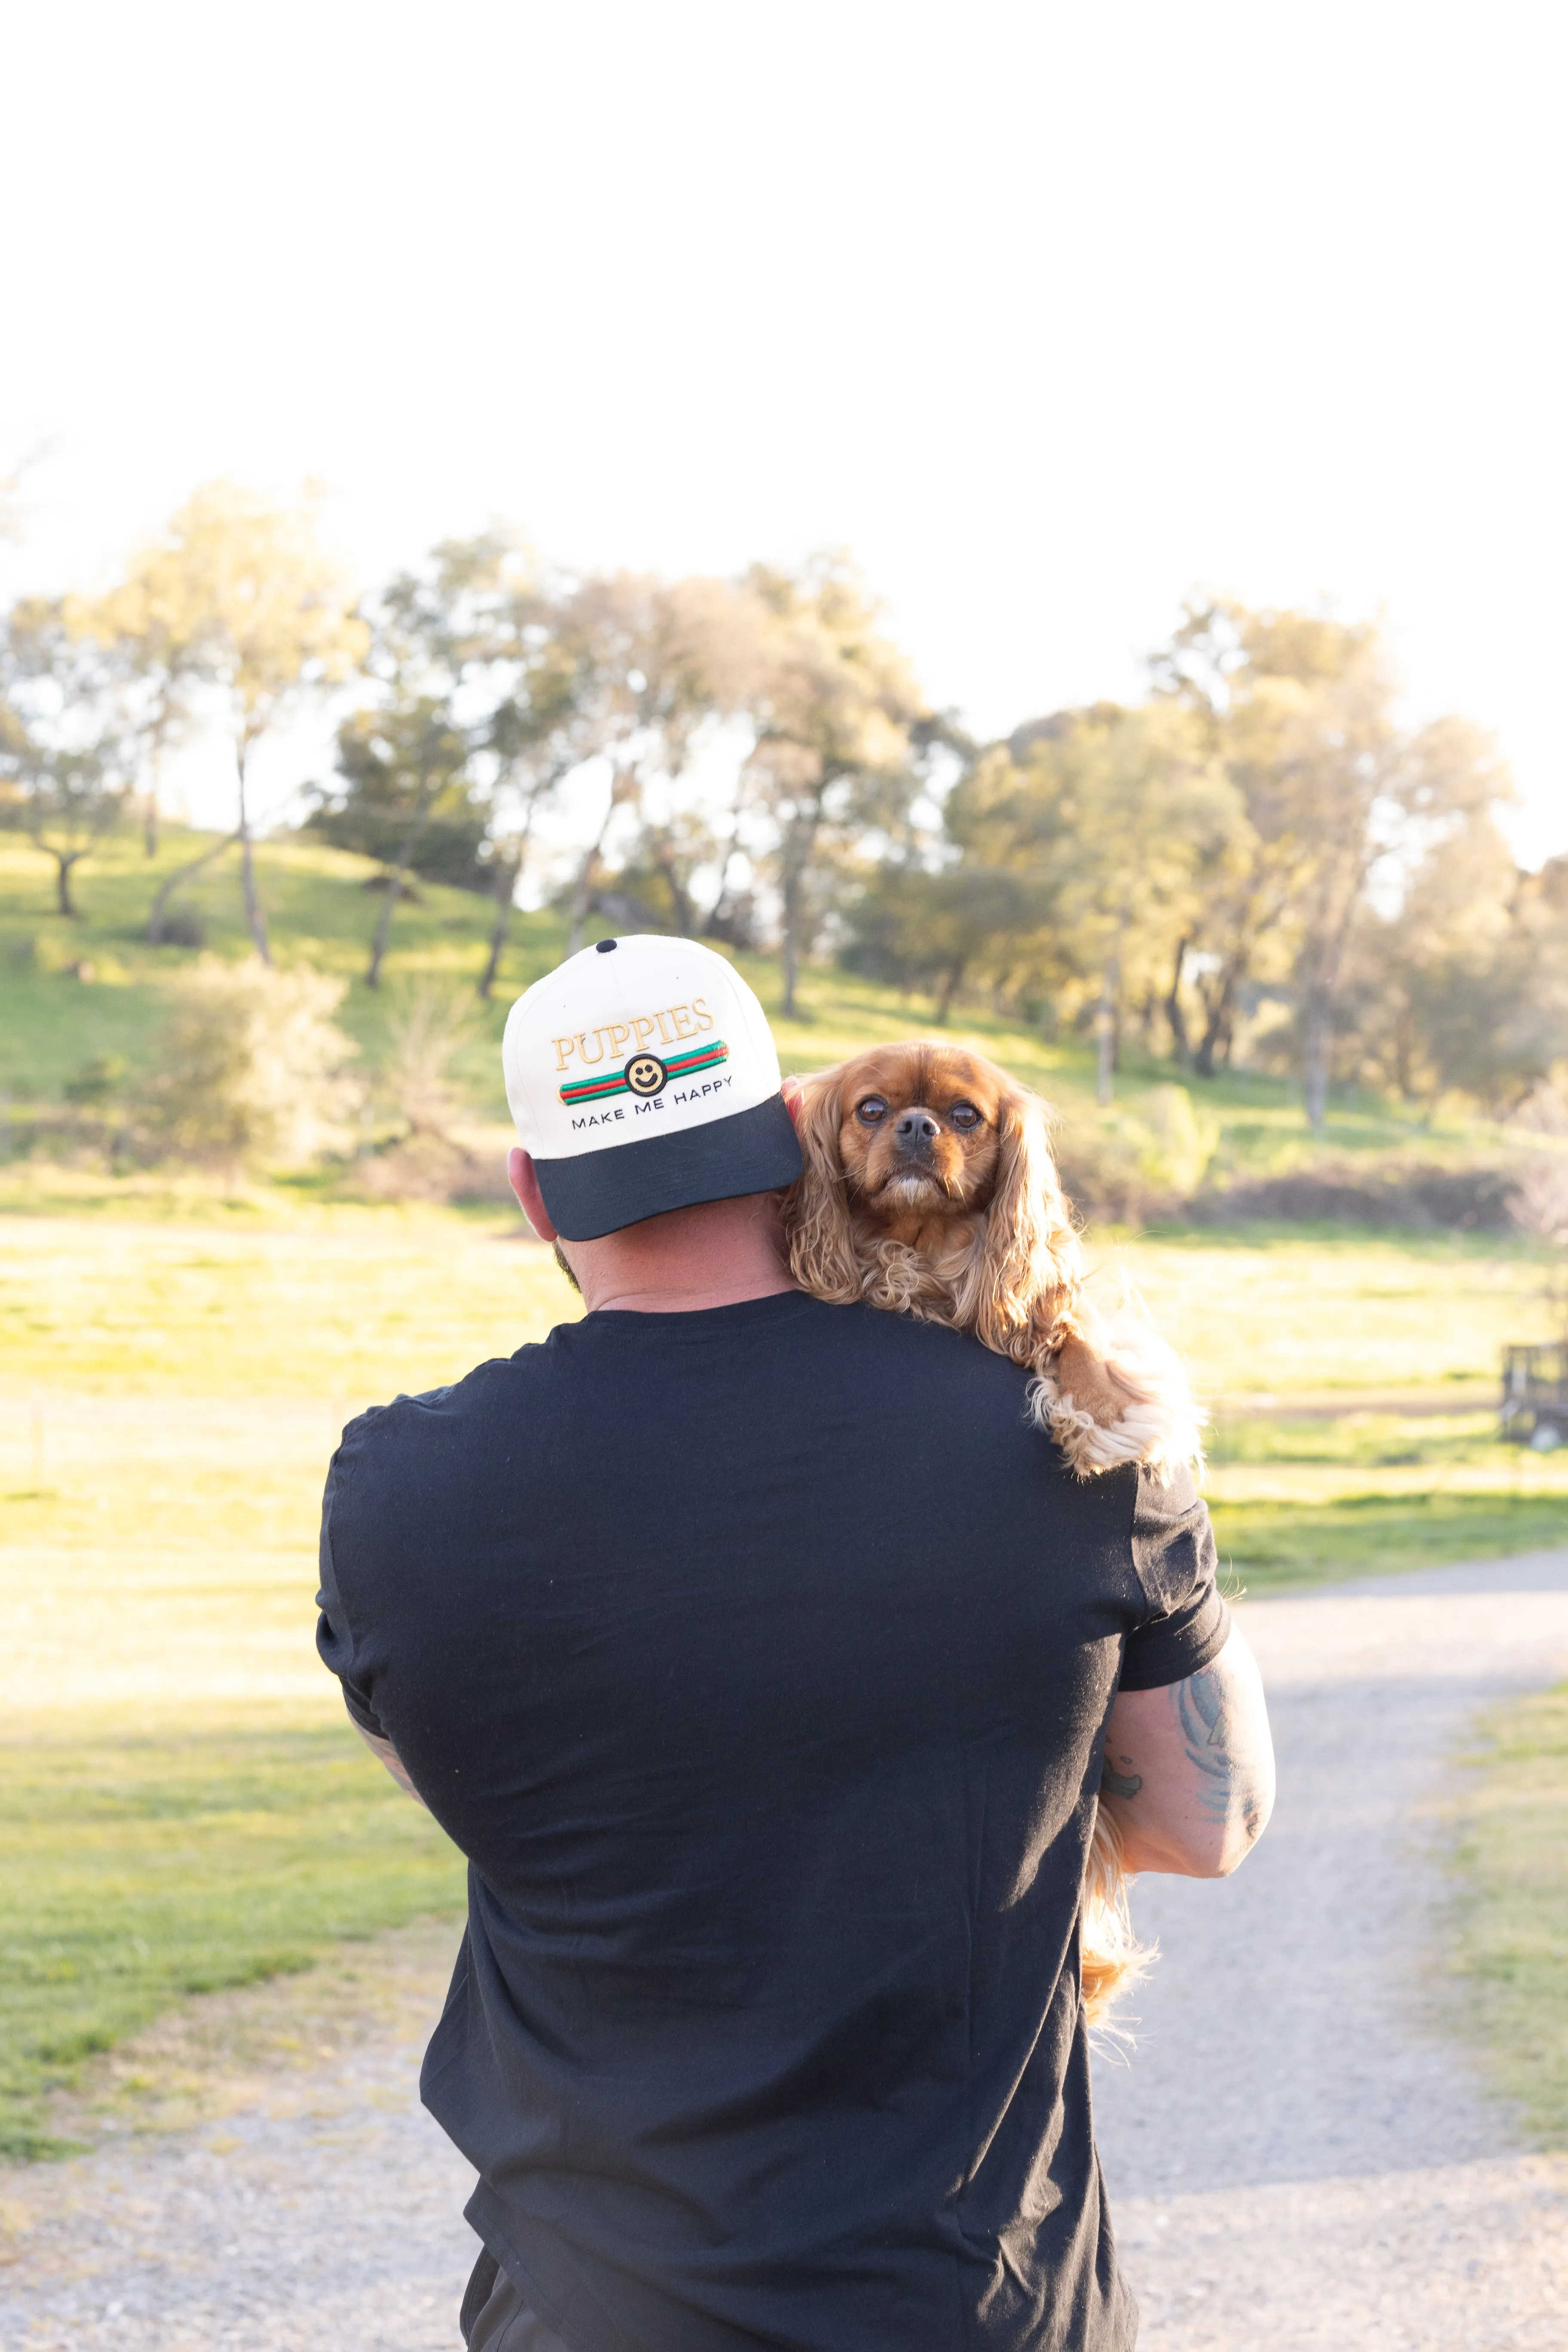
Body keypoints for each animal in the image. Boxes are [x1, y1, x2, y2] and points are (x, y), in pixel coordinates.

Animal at [780, 1044, 1213, 2022]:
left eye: (965, 1116)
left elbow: (1070, 1333)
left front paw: (1103, 1411)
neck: (922, 1249)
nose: (915, 1128)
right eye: (871, 1109)